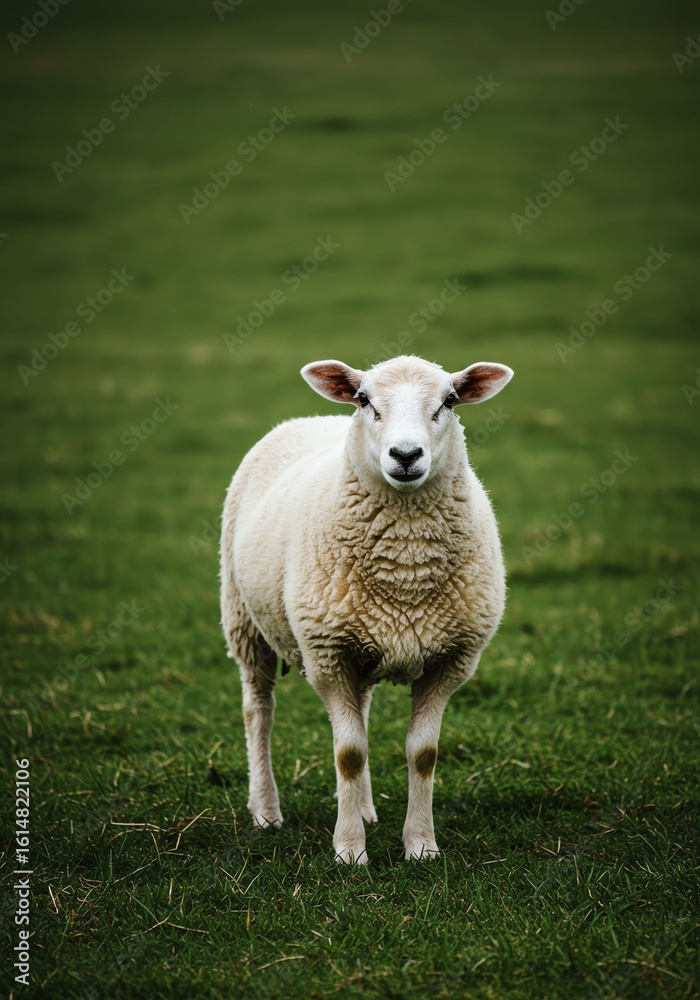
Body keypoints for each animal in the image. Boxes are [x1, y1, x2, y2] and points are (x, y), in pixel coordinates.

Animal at [220, 354, 514, 863]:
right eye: (363, 399)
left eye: (450, 400)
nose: (406, 455)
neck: (406, 564)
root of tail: (311, 417)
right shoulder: (327, 655)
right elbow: (349, 753)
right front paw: (349, 851)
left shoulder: (452, 659)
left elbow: (423, 754)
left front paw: (421, 846)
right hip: (244, 620)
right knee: (258, 710)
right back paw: (266, 811)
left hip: (362, 638)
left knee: (362, 709)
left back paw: (364, 807)